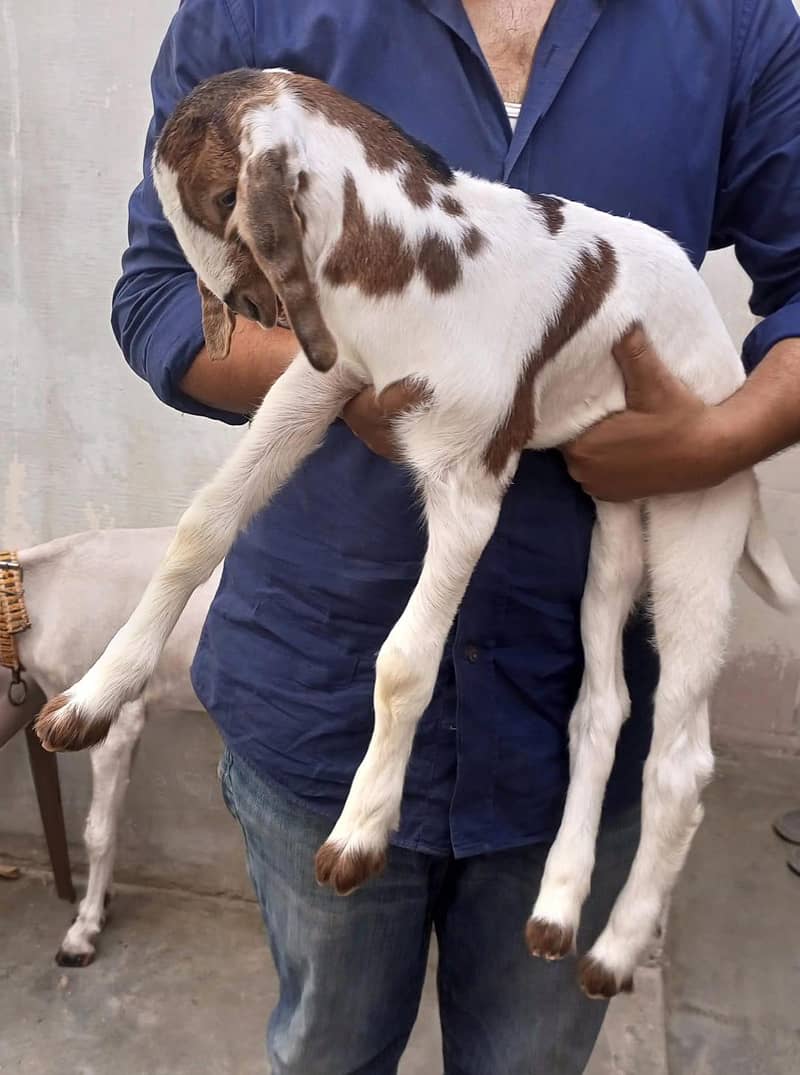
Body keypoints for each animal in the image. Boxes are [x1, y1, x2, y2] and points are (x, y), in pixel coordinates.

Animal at [2, 528, 212, 965]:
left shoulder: (109, 720)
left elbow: (96, 832)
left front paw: (81, 934)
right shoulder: (129, 723)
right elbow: (113, 816)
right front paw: (99, 903)